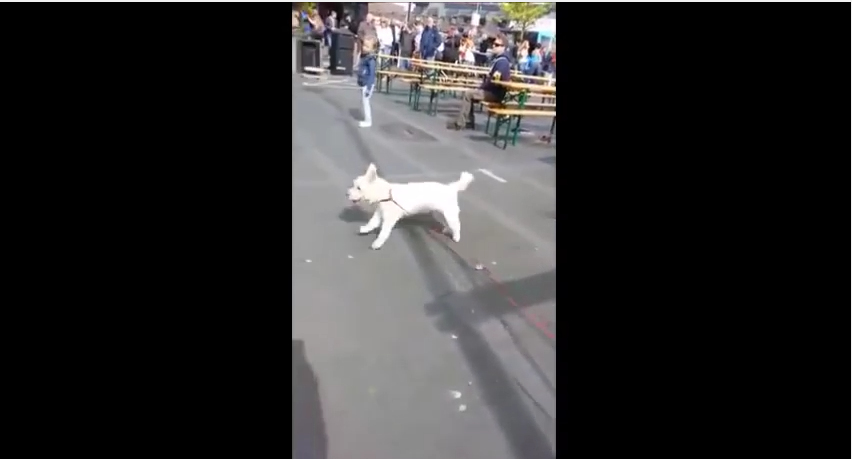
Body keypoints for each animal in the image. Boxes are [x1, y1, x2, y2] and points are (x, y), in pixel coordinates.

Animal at [348, 164, 480, 252]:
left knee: (456, 225)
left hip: (449, 212)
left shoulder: (389, 218)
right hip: (444, 213)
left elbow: (384, 232)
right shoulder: (380, 212)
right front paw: (365, 229)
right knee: (449, 223)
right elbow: (372, 222)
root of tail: (451, 187)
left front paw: (377, 243)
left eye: (358, 188)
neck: (386, 194)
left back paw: (456, 237)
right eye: (354, 185)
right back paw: (447, 230)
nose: (347, 194)